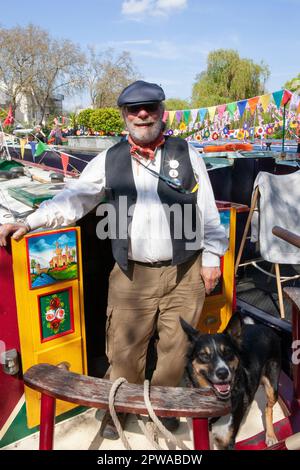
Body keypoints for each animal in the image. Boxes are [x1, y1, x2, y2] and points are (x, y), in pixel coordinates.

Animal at [180, 314, 282, 450]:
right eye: (204, 355)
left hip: (272, 387)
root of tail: (263, 327)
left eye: (227, 352)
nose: (223, 373)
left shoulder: (227, 441)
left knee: (268, 408)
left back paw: (270, 435)